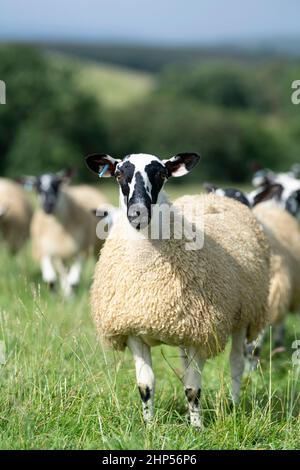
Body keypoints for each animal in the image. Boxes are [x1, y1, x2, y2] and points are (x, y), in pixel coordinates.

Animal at [84, 152, 270, 428]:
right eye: (118, 174)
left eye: (162, 174)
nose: (138, 213)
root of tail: (214, 197)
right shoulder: (134, 331)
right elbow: (146, 386)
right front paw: (149, 427)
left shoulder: (202, 331)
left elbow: (193, 389)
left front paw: (197, 428)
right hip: (185, 325)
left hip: (245, 314)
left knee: (236, 363)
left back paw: (235, 406)